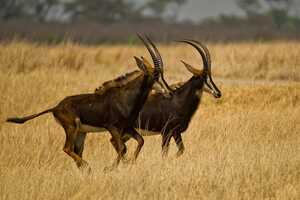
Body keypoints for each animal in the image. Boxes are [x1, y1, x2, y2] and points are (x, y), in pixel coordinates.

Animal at [5, 34, 170, 170]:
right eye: (156, 75)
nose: (168, 92)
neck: (126, 98)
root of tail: (56, 107)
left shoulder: (127, 127)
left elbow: (140, 141)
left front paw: (129, 163)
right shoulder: (111, 126)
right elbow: (122, 147)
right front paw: (111, 168)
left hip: (81, 133)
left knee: (76, 150)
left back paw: (85, 168)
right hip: (71, 128)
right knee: (67, 148)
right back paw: (87, 166)